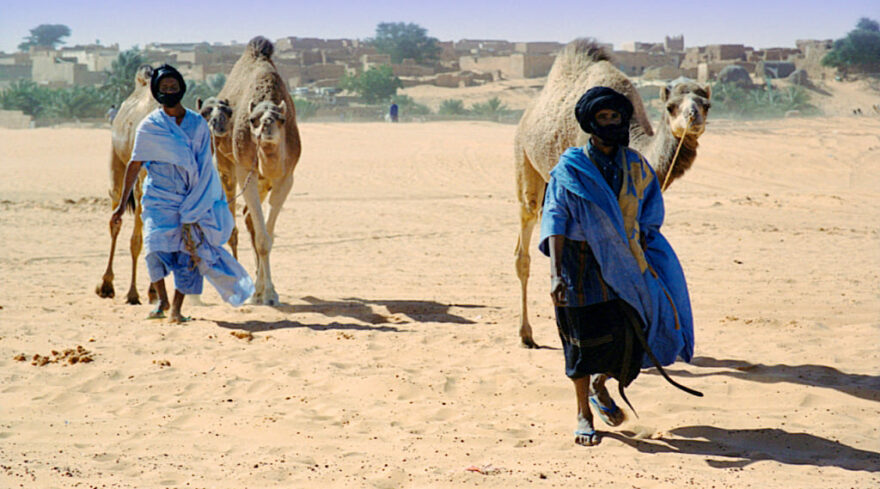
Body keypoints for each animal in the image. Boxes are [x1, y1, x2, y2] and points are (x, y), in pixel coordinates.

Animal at [98, 63, 162, 304]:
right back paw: (106, 285)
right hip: (117, 163)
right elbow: (137, 239)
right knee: (115, 220)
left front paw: (154, 292)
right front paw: (133, 293)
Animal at [202, 36, 304, 304]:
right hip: (226, 168)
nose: (267, 125)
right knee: (235, 217)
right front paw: (262, 294)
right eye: (252, 119)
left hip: (262, 181)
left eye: (281, 119)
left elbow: (268, 235)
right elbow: (262, 238)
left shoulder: (285, 178)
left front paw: (269, 292)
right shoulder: (244, 168)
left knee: (249, 217)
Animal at [512, 41, 712, 346]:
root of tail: (526, 114)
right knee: (526, 232)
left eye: (706, 105)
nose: (693, 118)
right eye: (670, 106)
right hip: (524, 156)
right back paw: (526, 334)